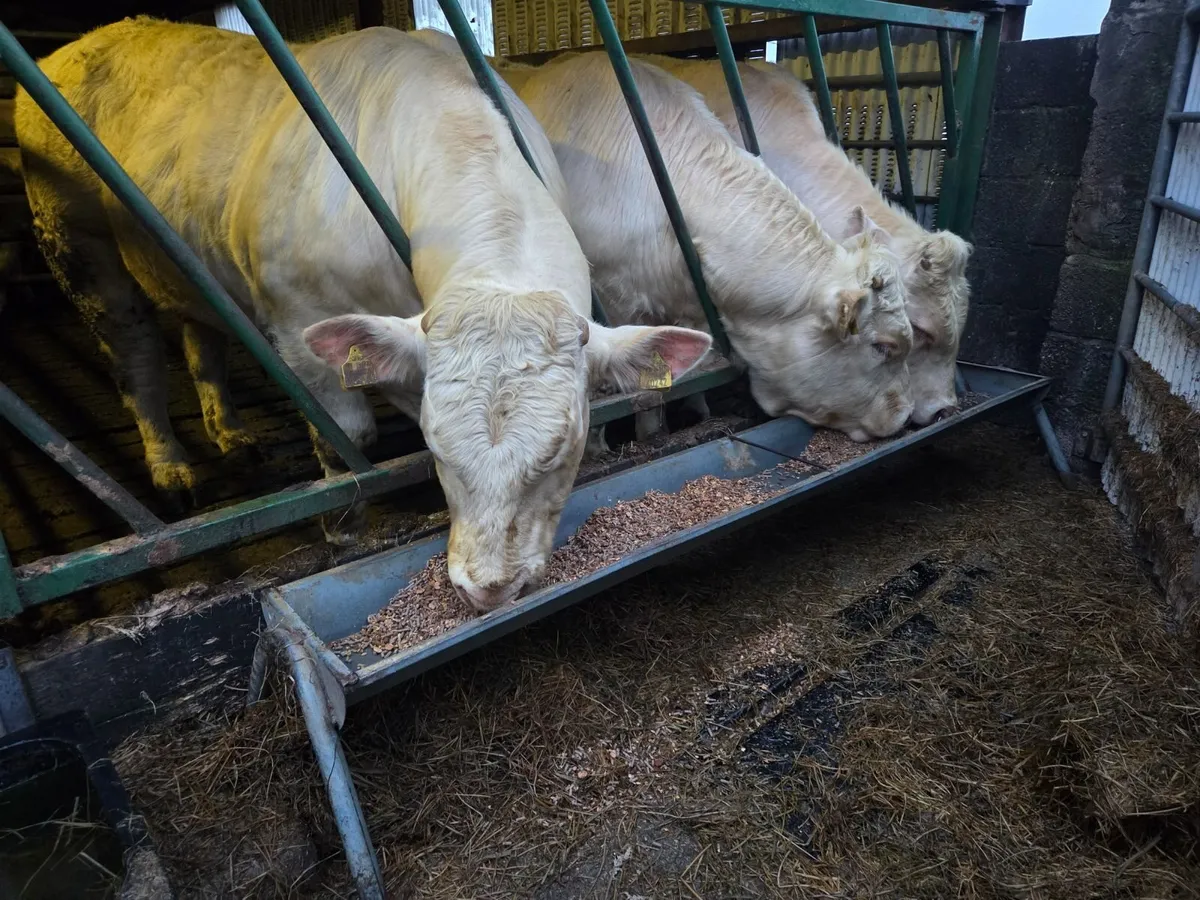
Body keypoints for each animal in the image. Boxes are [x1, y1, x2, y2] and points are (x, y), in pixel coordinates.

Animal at [16, 20, 711, 611]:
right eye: (436, 448)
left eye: (561, 451)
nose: (487, 588)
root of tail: (82, 42)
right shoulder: (296, 316)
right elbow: (347, 435)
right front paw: (345, 536)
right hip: (74, 241)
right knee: (134, 356)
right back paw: (172, 468)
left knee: (200, 333)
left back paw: (231, 433)